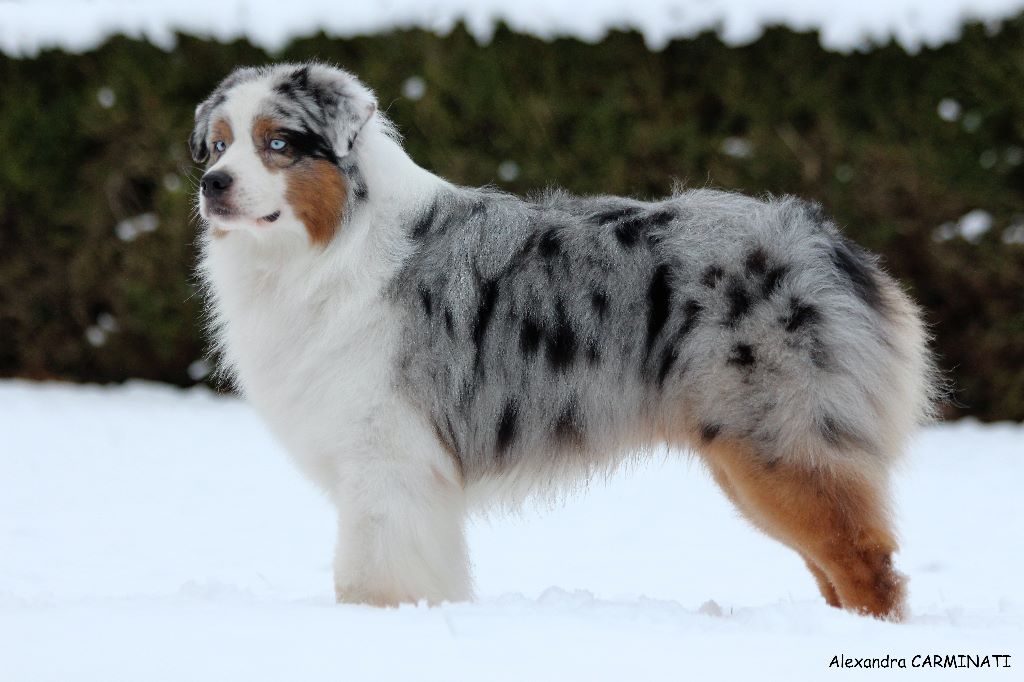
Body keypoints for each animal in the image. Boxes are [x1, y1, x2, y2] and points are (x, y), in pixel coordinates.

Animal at [190, 62, 937, 614]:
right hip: (752, 451)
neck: (327, 246)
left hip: (779, 442)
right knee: (834, 568)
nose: (211, 184)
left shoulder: (386, 456)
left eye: (278, 143)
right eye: (220, 143)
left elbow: (370, 573)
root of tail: (830, 243)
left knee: (867, 565)